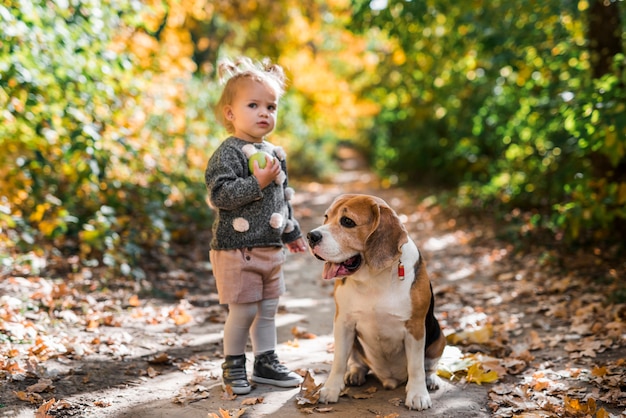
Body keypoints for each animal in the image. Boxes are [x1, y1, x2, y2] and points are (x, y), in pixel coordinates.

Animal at [306, 194, 444, 410]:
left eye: (347, 222)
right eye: (326, 217)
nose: (310, 236)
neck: (372, 278)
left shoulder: (415, 327)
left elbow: (416, 366)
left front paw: (417, 394)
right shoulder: (343, 323)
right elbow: (339, 361)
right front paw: (331, 389)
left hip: (439, 336)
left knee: (428, 366)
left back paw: (431, 380)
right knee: (356, 361)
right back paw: (355, 373)